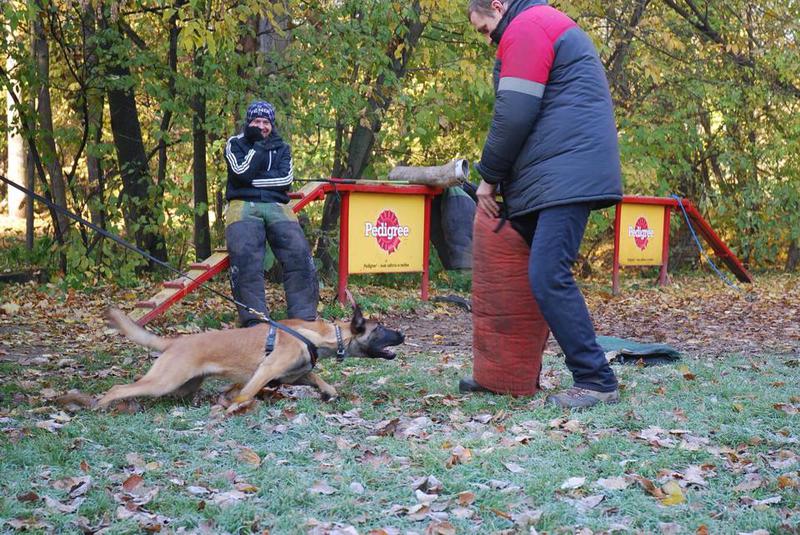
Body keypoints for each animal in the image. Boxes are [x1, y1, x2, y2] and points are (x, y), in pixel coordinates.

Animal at [97, 304, 404, 412]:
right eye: (380, 329)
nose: (401, 334)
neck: (321, 336)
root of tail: (176, 341)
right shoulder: (266, 371)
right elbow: (246, 393)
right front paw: (234, 406)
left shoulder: (293, 375)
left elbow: (317, 378)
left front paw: (329, 392)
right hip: (165, 381)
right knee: (119, 387)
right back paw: (100, 403)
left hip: (181, 386)